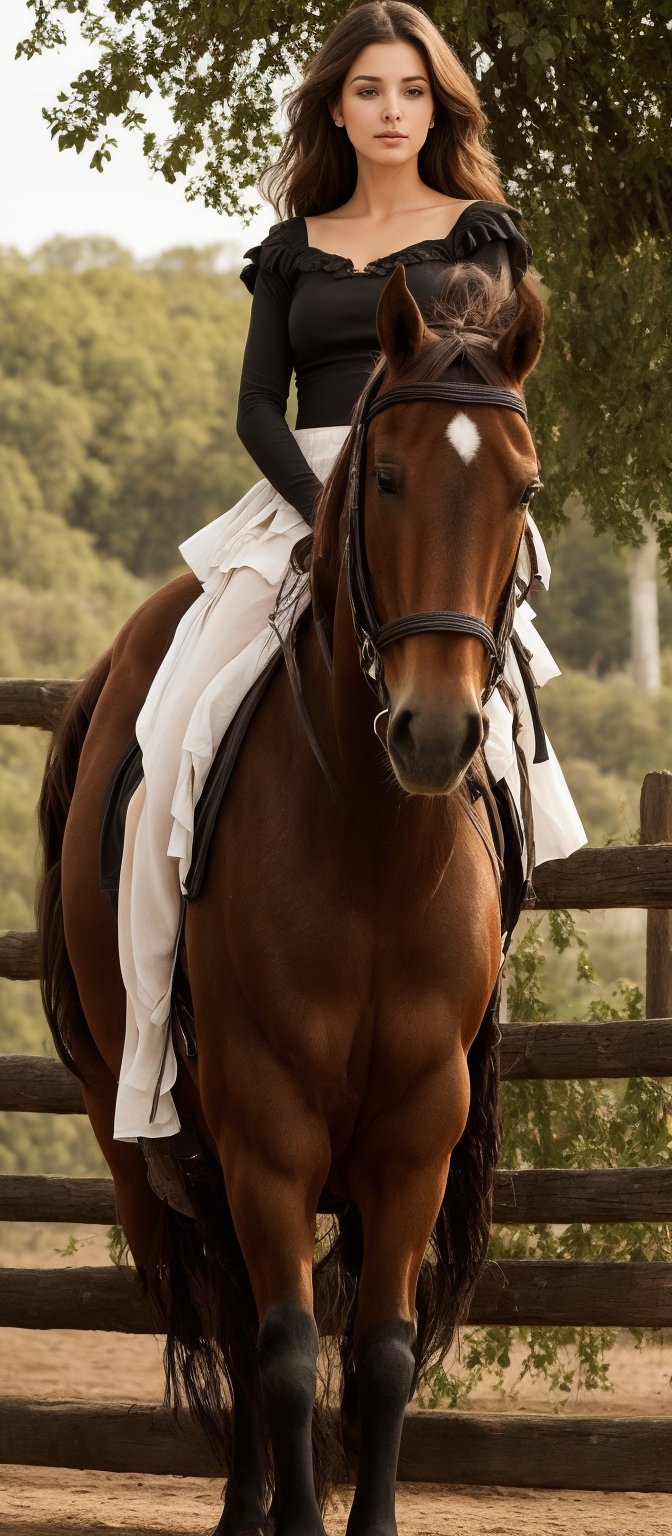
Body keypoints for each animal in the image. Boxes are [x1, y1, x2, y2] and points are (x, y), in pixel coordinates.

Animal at [36, 267, 543, 1536]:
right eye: (390, 476)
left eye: (522, 489)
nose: (434, 732)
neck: (371, 844)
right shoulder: (266, 1122)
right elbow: (283, 1344)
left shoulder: (415, 1127)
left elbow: (382, 1352)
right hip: (150, 1135)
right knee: (221, 1302)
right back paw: (244, 1508)